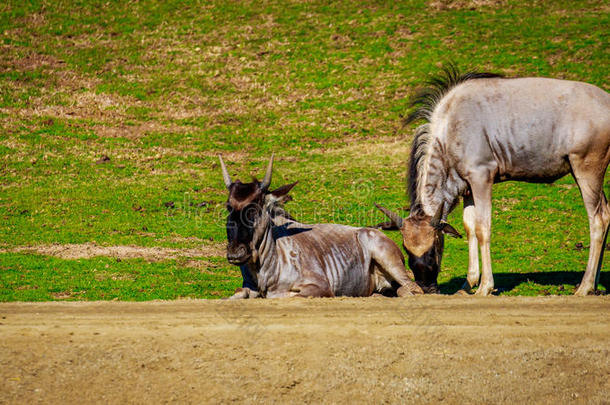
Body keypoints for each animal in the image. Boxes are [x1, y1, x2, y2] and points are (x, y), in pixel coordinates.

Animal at [218, 153, 422, 298]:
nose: (236, 252)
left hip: (390, 263)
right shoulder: (247, 287)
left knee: (411, 288)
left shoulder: (319, 288)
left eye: (258, 206)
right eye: (229, 206)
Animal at [376, 65, 608, 294]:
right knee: (606, 213)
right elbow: (469, 227)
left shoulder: (482, 178)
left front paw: (485, 286)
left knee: (597, 219)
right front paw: (468, 283)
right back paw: (595, 284)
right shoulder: (467, 188)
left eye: (433, 249)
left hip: (586, 169)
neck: (450, 124)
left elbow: (482, 228)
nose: (425, 287)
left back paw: (584, 287)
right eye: (406, 249)